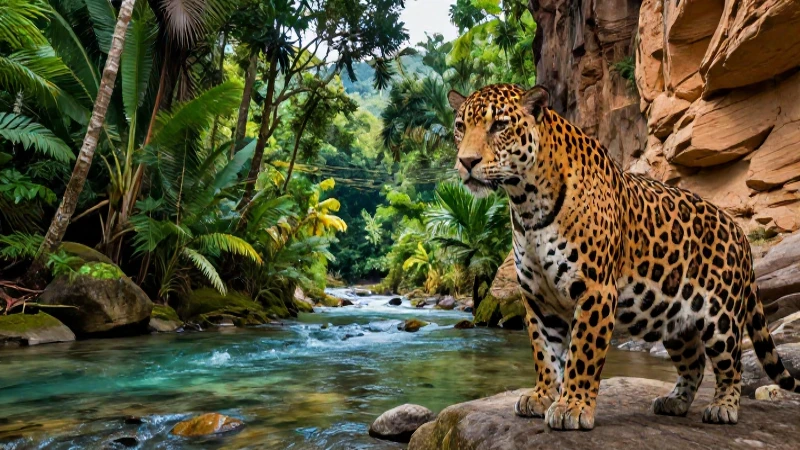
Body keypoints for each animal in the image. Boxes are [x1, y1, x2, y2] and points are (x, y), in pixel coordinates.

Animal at [447, 83, 800, 431]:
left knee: (732, 365)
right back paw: (674, 401)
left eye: (499, 126)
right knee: (695, 362)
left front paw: (572, 407)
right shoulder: (537, 297)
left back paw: (723, 407)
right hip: (675, 318)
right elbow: (543, 351)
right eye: (460, 126)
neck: (526, 201)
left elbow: (582, 353)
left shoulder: (595, 289)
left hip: (720, 316)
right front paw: (543, 396)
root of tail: (739, 232)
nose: (466, 161)